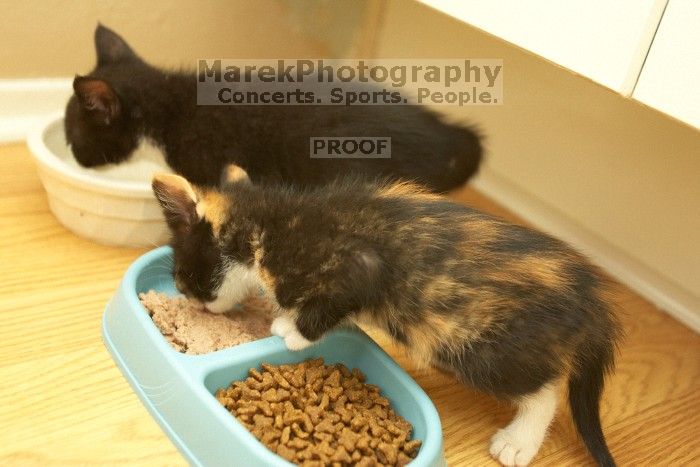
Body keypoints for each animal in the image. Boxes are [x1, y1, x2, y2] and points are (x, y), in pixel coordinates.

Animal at [152, 170, 616, 466]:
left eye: (184, 278)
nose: (193, 304)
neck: (267, 223)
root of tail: (590, 299)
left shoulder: (357, 265)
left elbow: (333, 300)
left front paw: (292, 330)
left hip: (484, 347)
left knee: (546, 390)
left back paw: (519, 441)